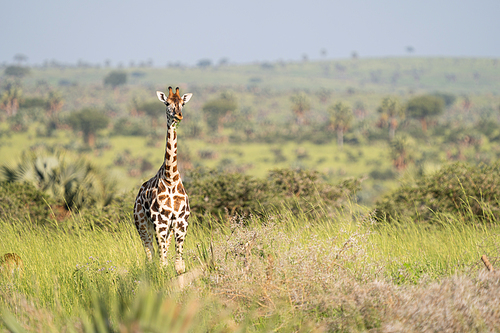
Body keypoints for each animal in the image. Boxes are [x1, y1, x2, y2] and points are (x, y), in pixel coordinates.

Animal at [134, 87, 192, 274]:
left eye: (182, 103)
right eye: (167, 103)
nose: (178, 116)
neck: (170, 178)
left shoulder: (181, 222)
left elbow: (179, 265)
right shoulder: (160, 221)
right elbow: (163, 263)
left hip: (166, 229)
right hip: (142, 225)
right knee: (150, 254)